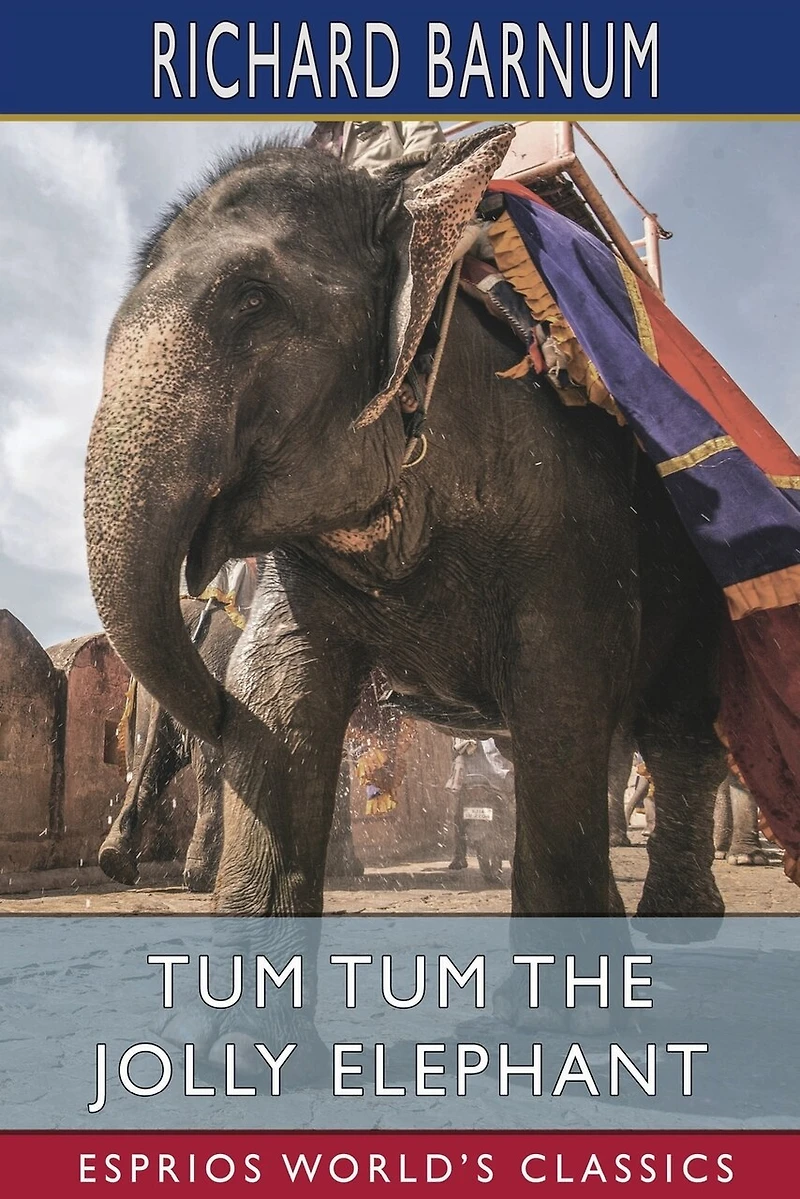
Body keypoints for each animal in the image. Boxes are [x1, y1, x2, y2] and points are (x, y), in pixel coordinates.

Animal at [84, 125, 728, 929]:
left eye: (254, 299)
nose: (210, 708)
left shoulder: (572, 517)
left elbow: (563, 697)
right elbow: (275, 692)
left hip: (692, 562)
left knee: (676, 728)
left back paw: (680, 920)